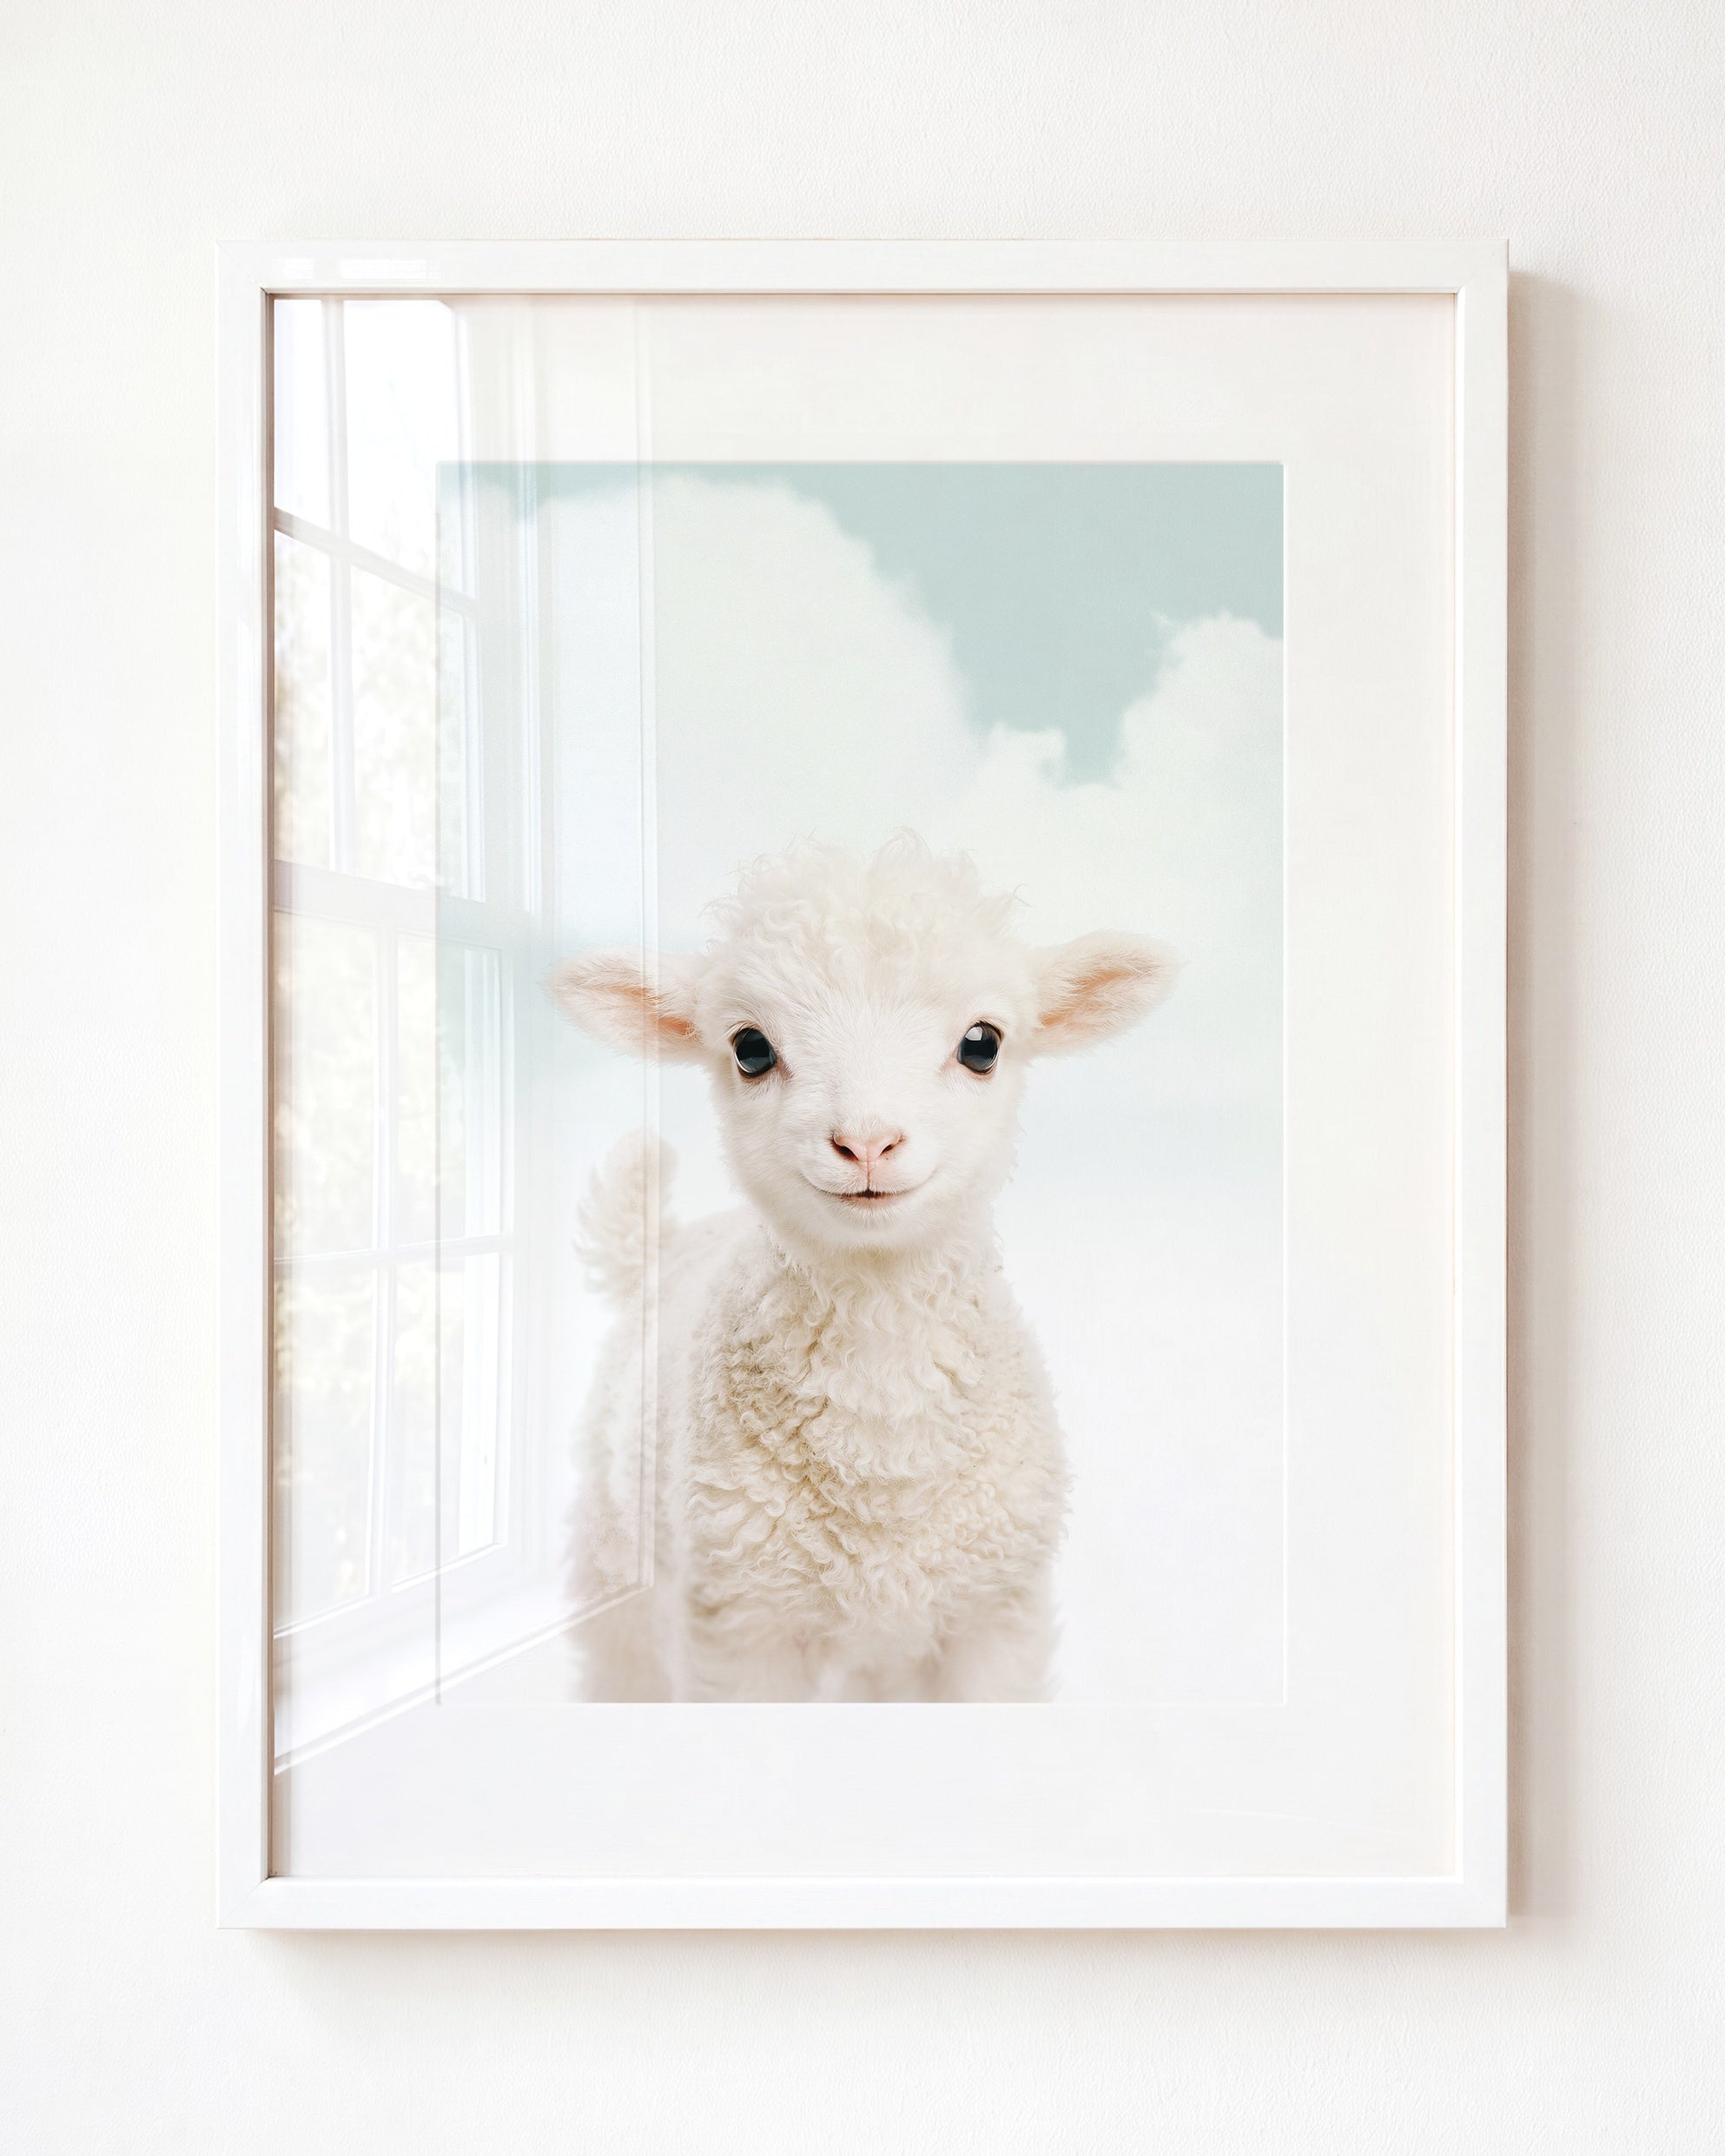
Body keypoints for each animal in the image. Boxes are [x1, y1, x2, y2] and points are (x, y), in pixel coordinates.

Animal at [551, 835, 1175, 1701]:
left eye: (982, 1043)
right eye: (751, 1048)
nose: (867, 1142)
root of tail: (666, 1245)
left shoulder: (994, 1616)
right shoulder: (740, 1627)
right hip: (619, 1572)